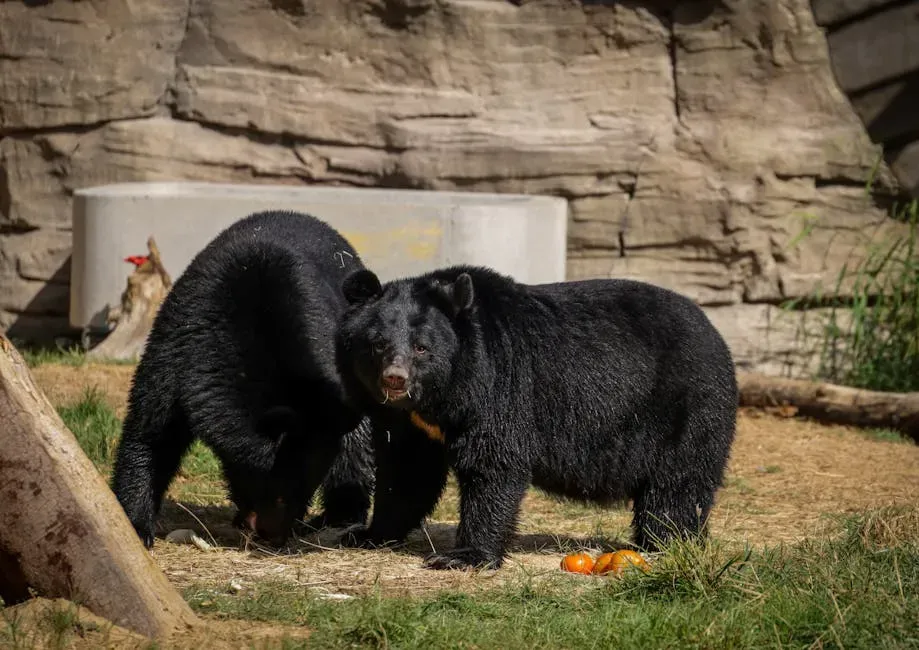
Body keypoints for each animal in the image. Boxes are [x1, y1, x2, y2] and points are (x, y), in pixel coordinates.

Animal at [111, 210, 375, 548]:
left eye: (304, 488)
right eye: (275, 489)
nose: (275, 535)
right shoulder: (180, 341)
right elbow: (152, 428)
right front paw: (135, 525)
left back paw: (340, 518)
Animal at [334, 265, 738, 570]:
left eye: (421, 348)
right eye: (378, 343)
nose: (395, 379)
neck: (441, 395)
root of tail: (715, 332)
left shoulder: (498, 382)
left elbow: (492, 461)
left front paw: (463, 556)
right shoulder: (409, 423)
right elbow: (406, 470)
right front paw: (367, 534)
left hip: (685, 408)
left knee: (676, 485)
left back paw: (665, 543)